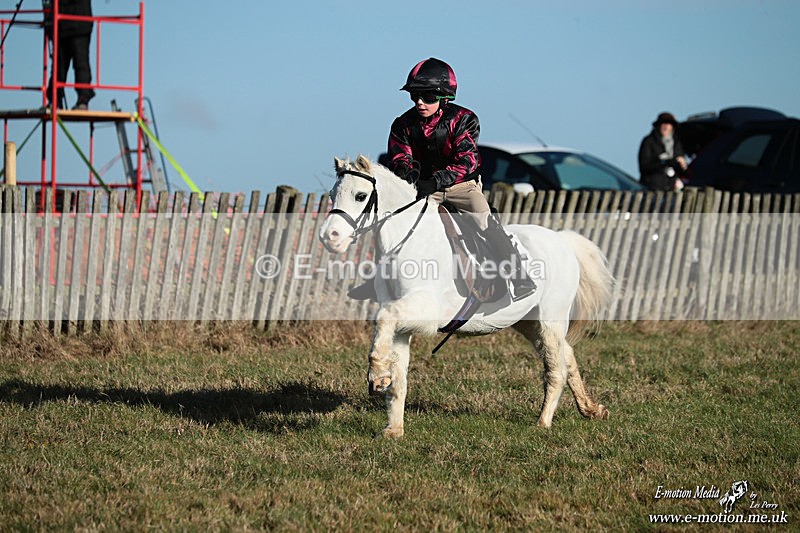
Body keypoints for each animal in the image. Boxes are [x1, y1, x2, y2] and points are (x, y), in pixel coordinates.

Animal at [319, 155, 615, 438]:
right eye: (333, 194)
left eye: (360, 196)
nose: (329, 237)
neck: (408, 241)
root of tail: (562, 240)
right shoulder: (402, 324)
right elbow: (398, 374)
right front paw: (393, 428)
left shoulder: (425, 310)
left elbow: (383, 316)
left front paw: (378, 374)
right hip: (529, 322)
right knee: (568, 354)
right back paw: (591, 409)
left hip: (551, 318)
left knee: (556, 369)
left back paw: (543, 423)